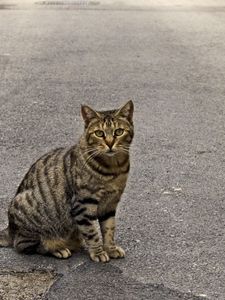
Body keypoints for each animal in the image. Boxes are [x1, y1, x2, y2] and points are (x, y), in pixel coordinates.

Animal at [0, 99, 134, 262]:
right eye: (99, 133)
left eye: (119, 132)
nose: (109, 143)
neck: (114, 168)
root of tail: (10, 229)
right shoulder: (83, 205)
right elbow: (92, 233)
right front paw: (98, 252)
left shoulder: (110, 204)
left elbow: (109, 229)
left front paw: (110, 249)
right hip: (28, 212)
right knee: (25, 245)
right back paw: (57, 249)